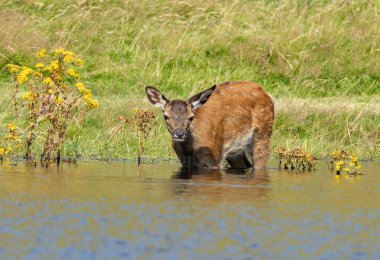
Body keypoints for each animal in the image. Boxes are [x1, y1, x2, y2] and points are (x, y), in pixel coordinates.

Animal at [145, 81, 274, 171]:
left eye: (191, 117)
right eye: (166, 116)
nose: (180, 133)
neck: (190, 149)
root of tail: (266, 94)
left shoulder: (214, 156)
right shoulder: (183, 160)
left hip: (263, 134)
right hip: (236, 151)